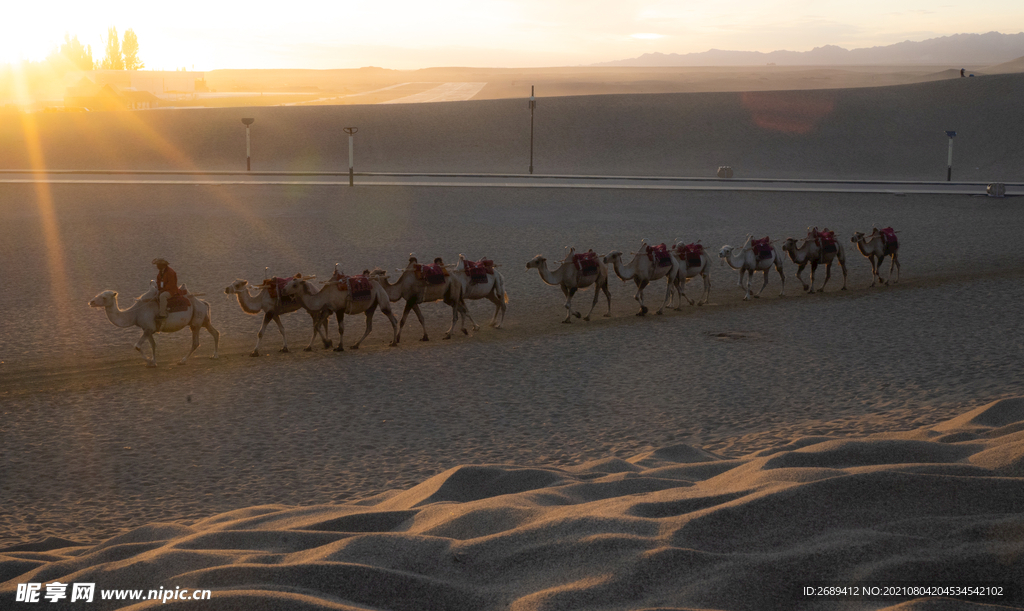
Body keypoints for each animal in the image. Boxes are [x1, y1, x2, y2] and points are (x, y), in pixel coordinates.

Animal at [89, 284, 219, 364]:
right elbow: (153, 345)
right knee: (215, 333)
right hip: (203, 320)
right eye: (98, 295)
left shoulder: (148, 328)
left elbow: (137, 346)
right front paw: (154, 362)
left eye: (104, 297)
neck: (135, 313)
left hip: (196, 321)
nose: (91, 302)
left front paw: (149, 362)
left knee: (196, 342)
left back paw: (182, 361)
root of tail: (203, 302)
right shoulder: (147, 329)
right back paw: (214, 355)